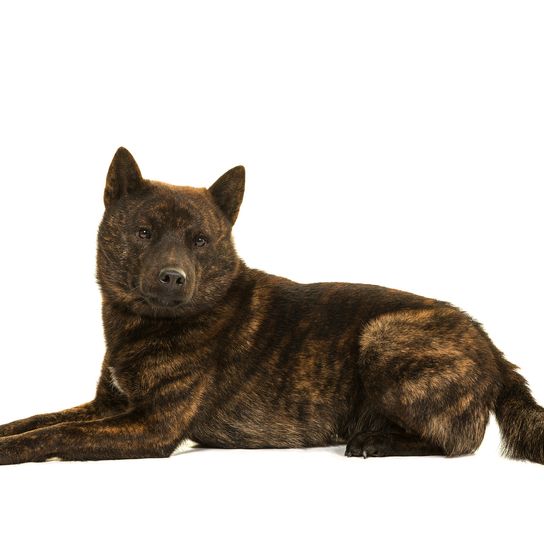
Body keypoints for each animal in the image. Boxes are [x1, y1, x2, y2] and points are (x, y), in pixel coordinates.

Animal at [1, 148, 544, 464]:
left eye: (199, 241)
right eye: (144, 232)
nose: (173, 277)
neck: (143, 324)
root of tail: (491, 346)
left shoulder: (151, 426)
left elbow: (58, 434)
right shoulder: (108, 406)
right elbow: (36, 420)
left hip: (385, 336)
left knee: (458, 444)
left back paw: (375, 441)